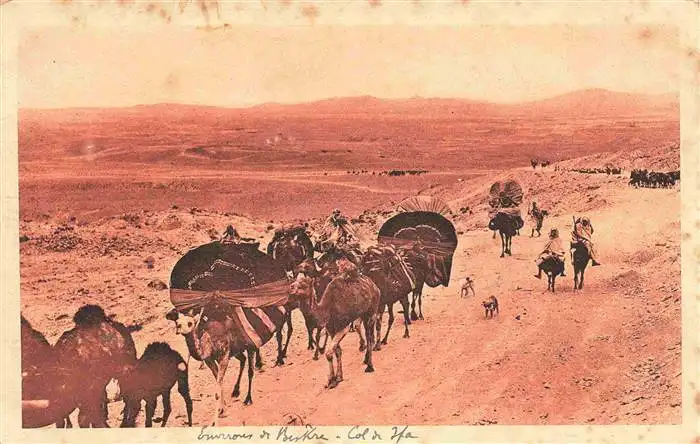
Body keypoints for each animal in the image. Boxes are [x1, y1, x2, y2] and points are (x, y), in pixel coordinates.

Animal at [288, 262, 380, 390]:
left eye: (303, 284)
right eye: (295, 281)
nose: (291, 288)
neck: (327, 309)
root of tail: (375, 286)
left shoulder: (343, 327)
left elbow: (329, 353)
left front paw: (331, 380)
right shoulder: (331, 329)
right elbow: (337, 351)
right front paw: (338, 377)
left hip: (371, 312)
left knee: (370, 336)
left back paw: (369, 366)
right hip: (363, 314)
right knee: (366, 334)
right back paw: (366, 359)